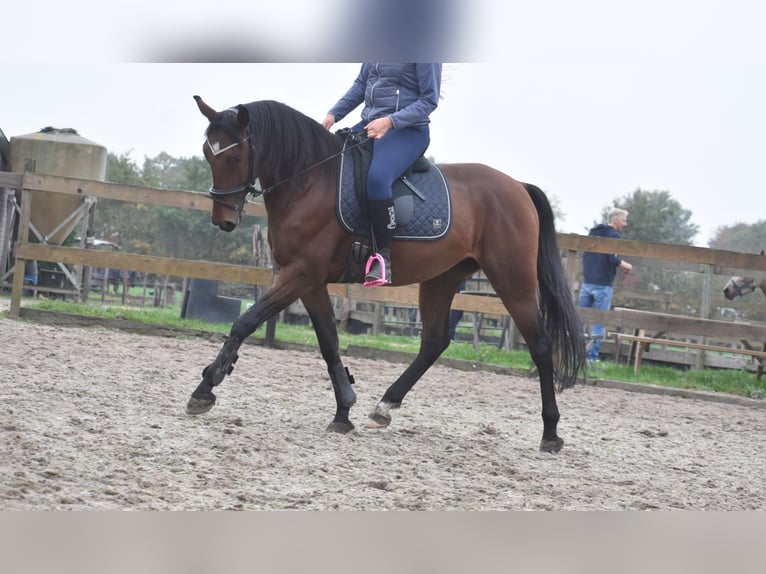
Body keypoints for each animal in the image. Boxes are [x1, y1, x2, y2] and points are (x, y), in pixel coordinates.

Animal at [186, 96, 586, 453]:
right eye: (208, 153)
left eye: (236, 156)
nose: (223, 219)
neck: (310, 179)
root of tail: (517, 186)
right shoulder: (309, 280)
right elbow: (329, 342)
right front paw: (344, 410)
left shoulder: (300, 273)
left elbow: (246, 321)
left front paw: (206, 386)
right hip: (442, 279)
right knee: (434, 342)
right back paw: (384, 407)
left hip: (513, 282)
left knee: (541, 346)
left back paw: (551, 432)